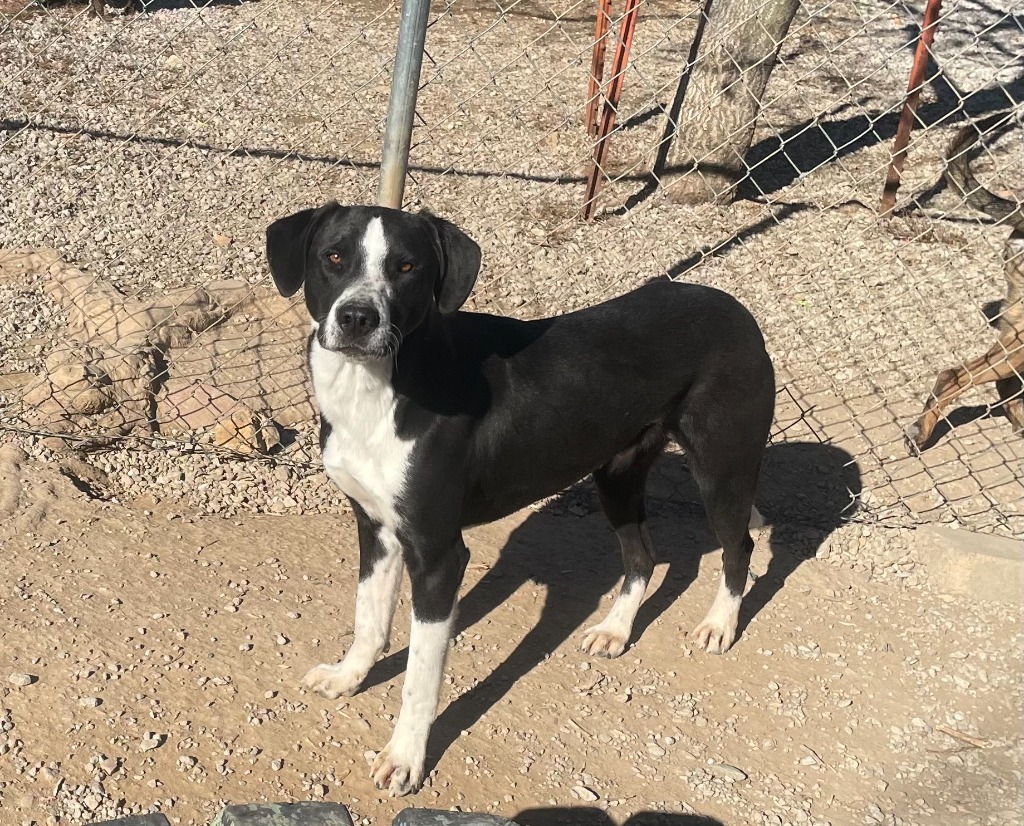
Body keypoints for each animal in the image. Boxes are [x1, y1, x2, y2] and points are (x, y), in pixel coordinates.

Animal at [266, 203, 774, 798]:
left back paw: (720, 624)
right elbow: (368, 618)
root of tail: (736, 310)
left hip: (722, 470)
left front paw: (405, 756)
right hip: (617, 475)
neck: (381, 387)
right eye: (333, 257)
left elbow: (420, 675)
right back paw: (616, 630)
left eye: (407, 266)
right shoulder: (377, 527)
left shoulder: (438, 554)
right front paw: (349, 676)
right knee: (642, 555)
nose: (357, 318)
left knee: (737, 546)